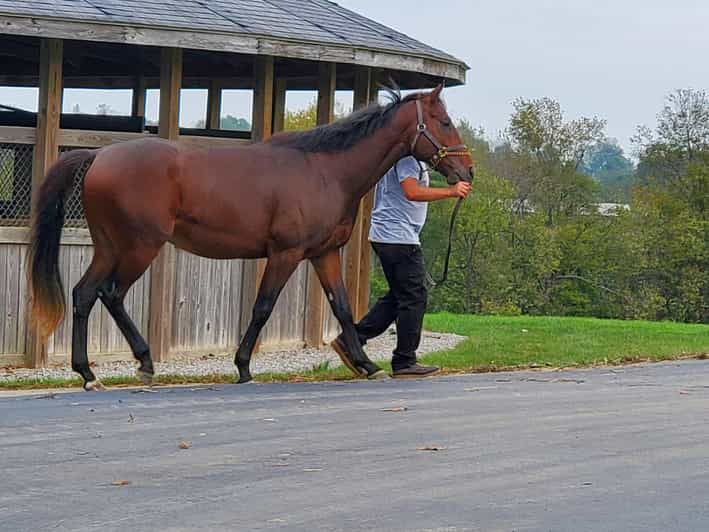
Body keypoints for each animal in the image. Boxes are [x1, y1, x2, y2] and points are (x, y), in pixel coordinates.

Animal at [27, 85, 474, 391]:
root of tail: (99, 155)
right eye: (445, 123)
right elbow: (262, 307)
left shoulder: (324, 254)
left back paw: (88, 373)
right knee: (111, 294)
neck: (325, 171)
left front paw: (365, 364)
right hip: (140, 247)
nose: (466, 173)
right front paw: (243, 366)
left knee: (84, 294)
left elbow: (344, 309)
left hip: (109, 247)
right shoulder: (285, 254)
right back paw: (144, 362)